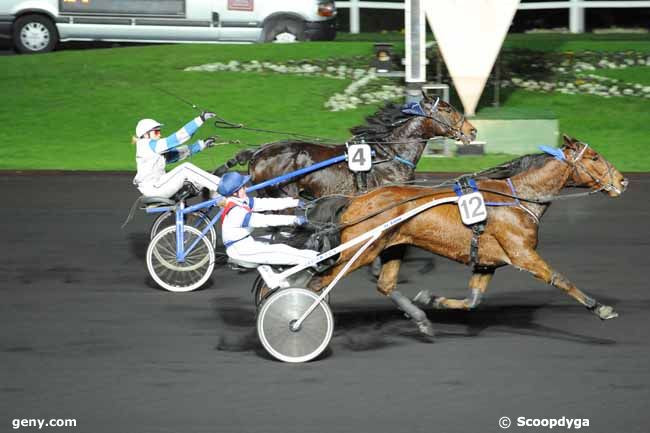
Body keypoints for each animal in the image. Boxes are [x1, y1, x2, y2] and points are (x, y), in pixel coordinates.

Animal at [306, 133, 624, 336]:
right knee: (319, 281)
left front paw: (431, 299)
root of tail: (355, 200)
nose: (622, 180)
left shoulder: (487, 262)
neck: (516, 198)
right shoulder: (523, 254)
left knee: (384, 285)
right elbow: (560, 279)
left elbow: (472, 301)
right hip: (359, 250)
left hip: (392, 246)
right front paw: (600, 308)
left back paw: (421, 319)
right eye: (594, 157)